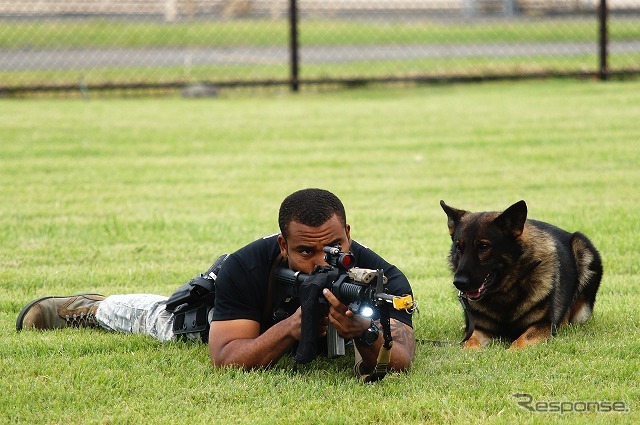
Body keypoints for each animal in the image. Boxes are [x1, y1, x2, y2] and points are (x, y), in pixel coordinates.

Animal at [442, 200, 604, 348]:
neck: (505, 292)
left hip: (582, 247)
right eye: (459, 247)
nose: (459, 282)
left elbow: (519, 342)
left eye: (483, 246)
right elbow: (470, 343)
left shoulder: (542, 325)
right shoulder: (480, 329)